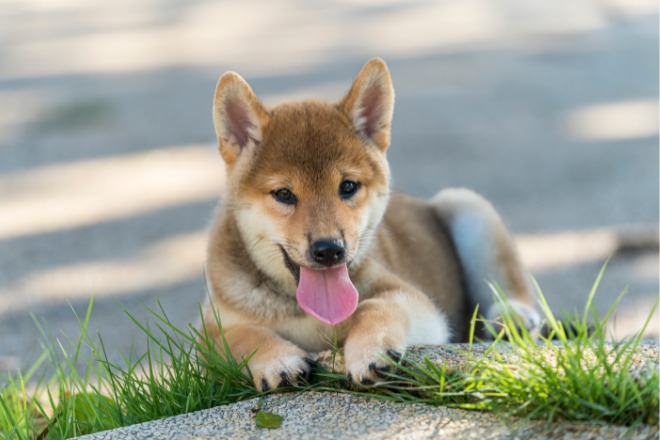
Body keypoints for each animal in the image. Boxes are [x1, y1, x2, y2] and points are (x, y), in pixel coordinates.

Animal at [202, 58, 540, 392]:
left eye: (348, 186)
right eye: (283, 194)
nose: (329, 250)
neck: (309, 313)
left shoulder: (414, 300)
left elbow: (374, 306)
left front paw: (369, 352)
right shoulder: (207, 331)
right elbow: (241, 336)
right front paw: (278, 360)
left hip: (466, 203)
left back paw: (514, 316)